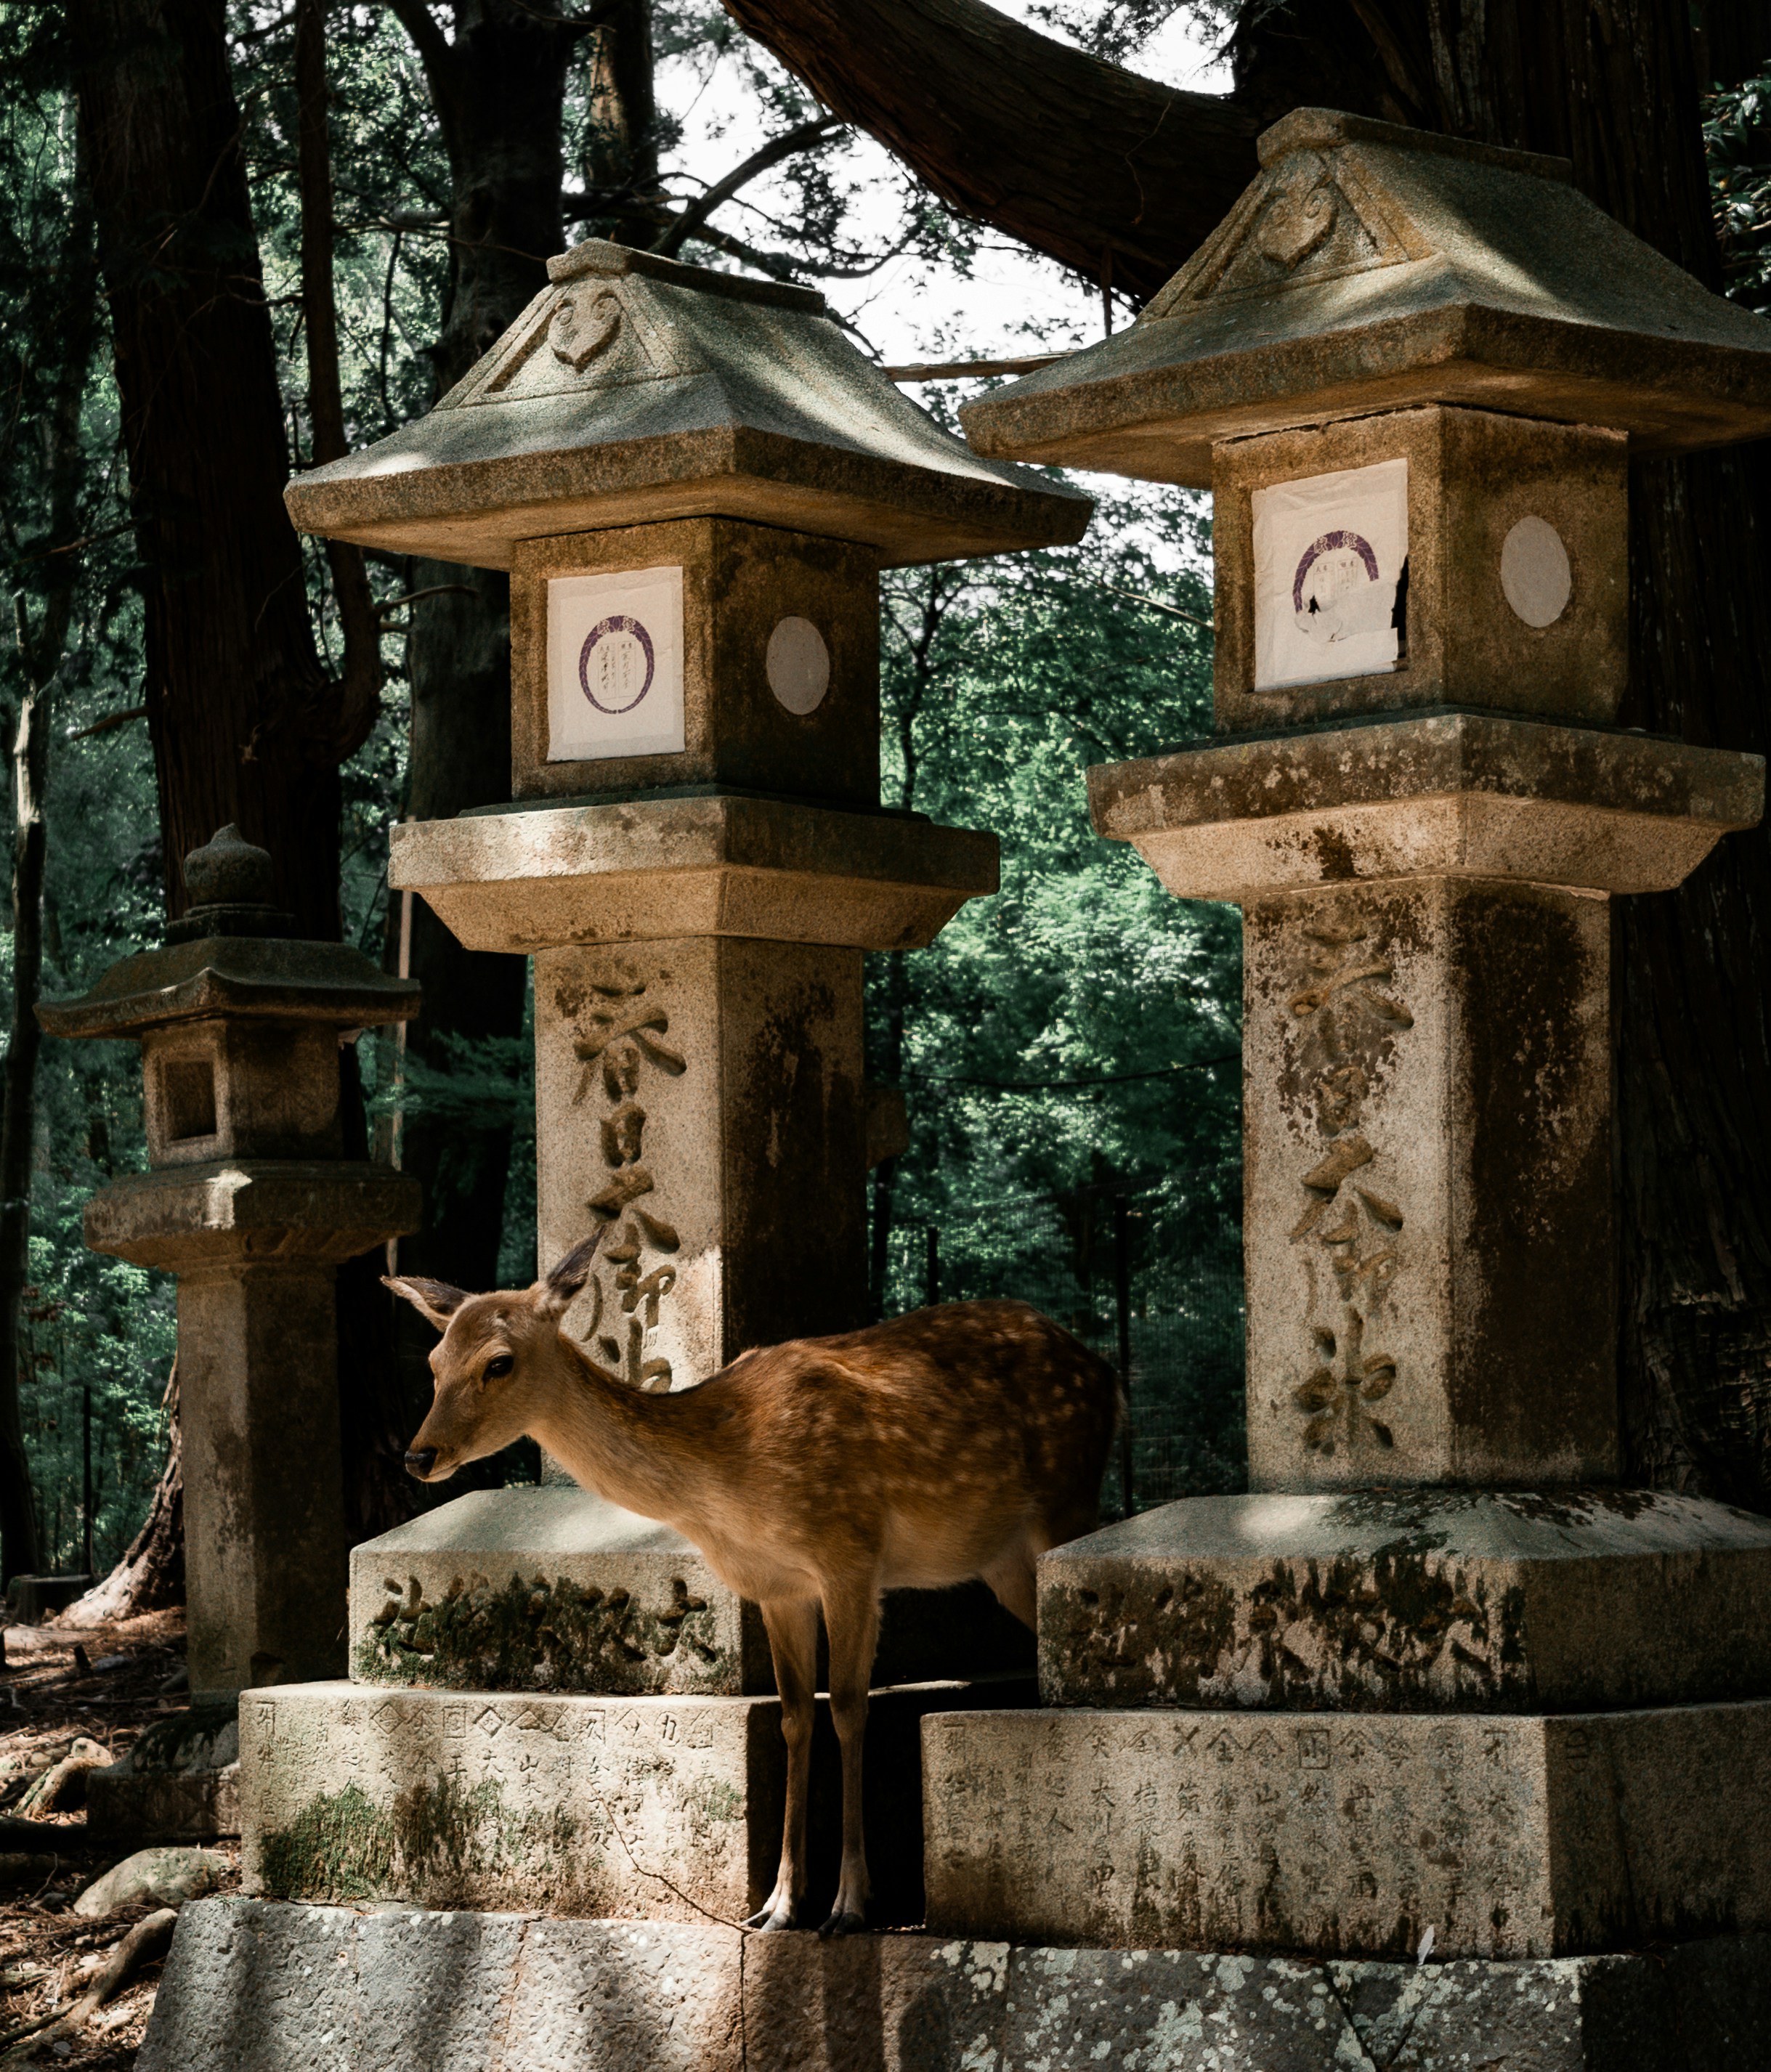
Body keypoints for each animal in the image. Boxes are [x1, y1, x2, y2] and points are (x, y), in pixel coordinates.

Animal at [385, 1227, 1121, 1938]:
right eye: (434, 1363)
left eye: (499, 1361)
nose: (419, 1455)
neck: (727, 1484)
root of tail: (1103, 1368)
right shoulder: (773, 1584)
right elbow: (795, 1717)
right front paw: (778, 1905)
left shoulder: (851, 1551)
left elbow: (848, 1706)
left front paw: (850, 1905)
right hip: (1003, 1559)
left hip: (1068, 1502)